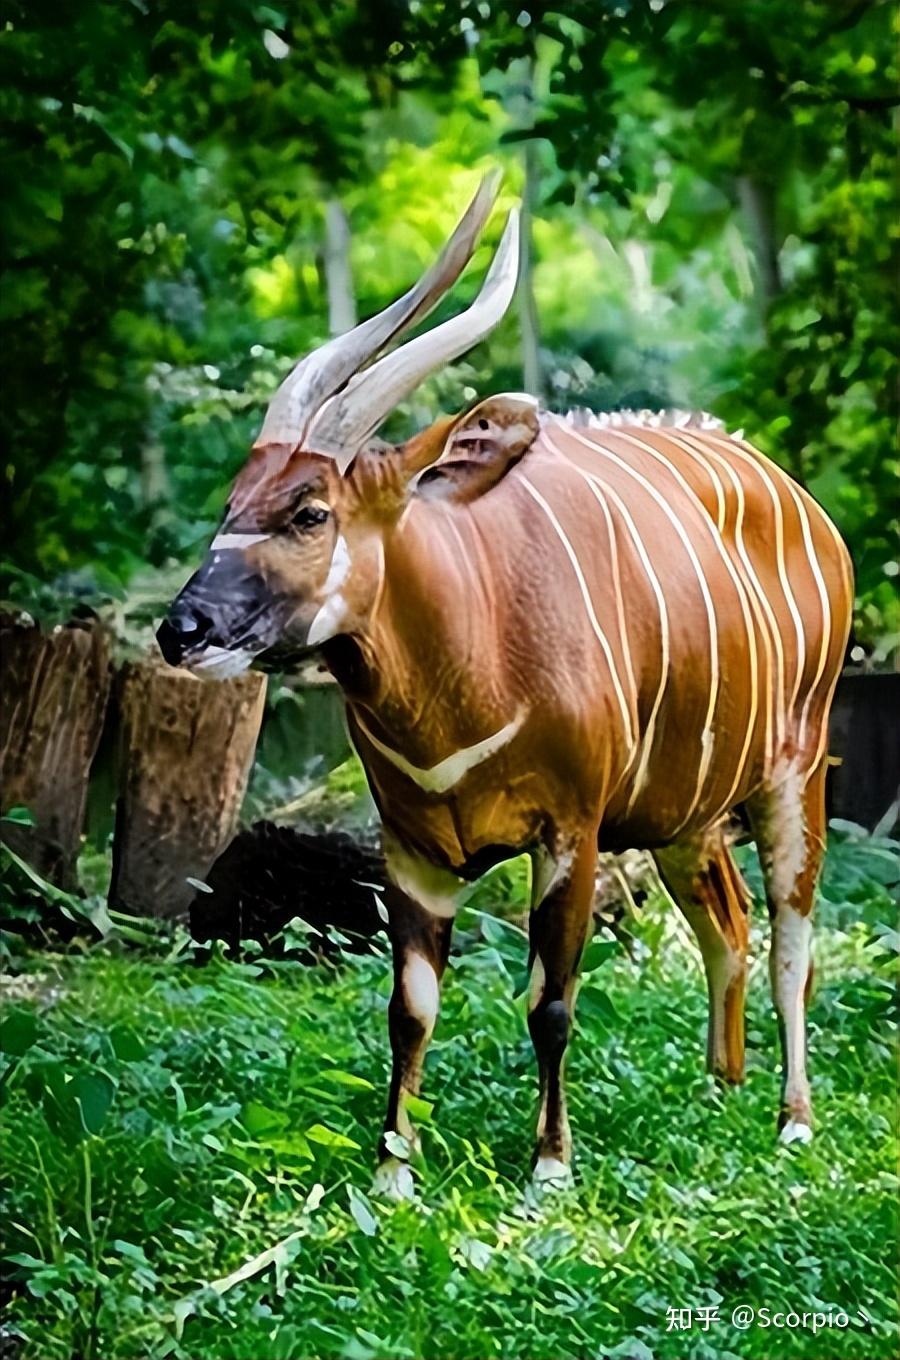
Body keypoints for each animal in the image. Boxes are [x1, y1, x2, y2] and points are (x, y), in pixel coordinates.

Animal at [158, 178, 859, 1191]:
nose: (182, 629)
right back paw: (718, 1094)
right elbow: (409, 1008)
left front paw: (549, 1169)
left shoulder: (569, 833)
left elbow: (551, 1000)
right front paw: (393, 1174)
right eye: (231, 503)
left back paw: (792, 1122)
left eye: (310, 512)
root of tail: (804, 502)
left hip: (795, 773)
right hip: (683, 816)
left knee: (791, 938)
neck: (467, 665)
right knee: (725, 922)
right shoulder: (413, 849)